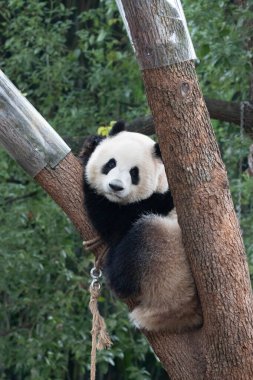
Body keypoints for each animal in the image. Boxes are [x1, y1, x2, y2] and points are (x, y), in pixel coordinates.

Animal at [80, 121, 203, 332]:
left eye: (134, 172)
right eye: (111, 163)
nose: (115, 186)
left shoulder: (151, 204)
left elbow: (110, 218)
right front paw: (91, 144)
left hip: (168, 260)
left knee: (144, 234)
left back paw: (115, 277)